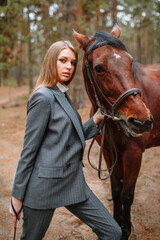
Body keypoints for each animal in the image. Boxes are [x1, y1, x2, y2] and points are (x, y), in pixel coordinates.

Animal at [73, 24, 160, 240]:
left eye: (130, 62)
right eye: (99, 68)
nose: (141, 121)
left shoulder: (134, 153)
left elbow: (127, 195)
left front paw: (126, 230)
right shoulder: (109, 152)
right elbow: (116, 189)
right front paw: (117, 224)